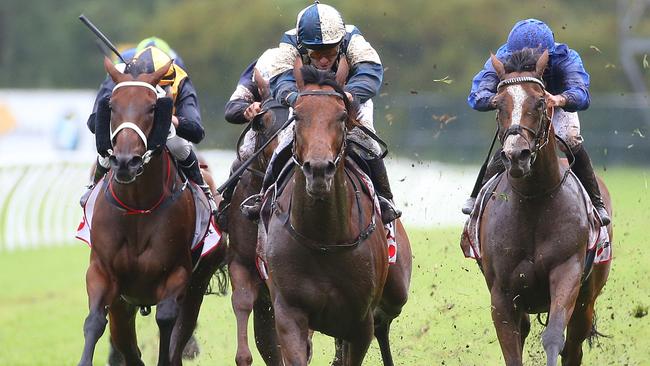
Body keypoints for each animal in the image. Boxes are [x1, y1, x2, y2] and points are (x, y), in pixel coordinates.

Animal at [78, 58, 228, 366]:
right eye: (112, 106)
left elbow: (167, 321)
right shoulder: (102, 272)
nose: (126, 162)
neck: (137, 205)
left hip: (197, 283)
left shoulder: (177, 274)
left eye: (151, 107)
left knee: (182, 327)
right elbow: (95, 322)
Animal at [258, 64, 410, 364]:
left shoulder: (360, 321)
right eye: (297, 114)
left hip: (397, 288)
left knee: (383, 322)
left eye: (341, 115)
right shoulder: (289, 313)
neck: (324, 239)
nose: (318, 169)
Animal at [474, 49, 612, 366]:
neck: (533, 200)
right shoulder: (502, 294)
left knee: (573, 347)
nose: (516, 155)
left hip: (587, 299)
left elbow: (553, 337)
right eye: (498, 104)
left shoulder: (567, 272)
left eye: (540, 101)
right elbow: (512, 349)